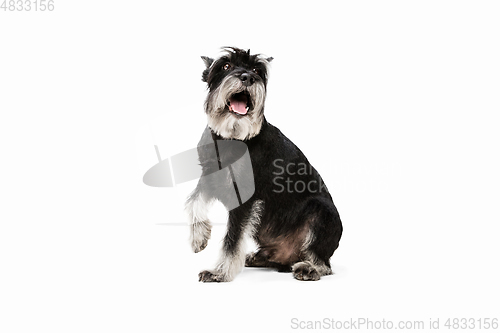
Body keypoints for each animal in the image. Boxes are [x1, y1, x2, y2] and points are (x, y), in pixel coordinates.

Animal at [186, 46, 342, 280]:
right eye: (226, 65)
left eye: (256, 70)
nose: (247, 77)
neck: (231, 137)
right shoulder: (209, 176)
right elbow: (194, 200)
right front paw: (199, 237)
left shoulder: (244, 199)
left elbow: (232, 238)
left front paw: (220, 273)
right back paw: (257, 257)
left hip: (322, 212)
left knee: (324, 262)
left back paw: (310, 268)